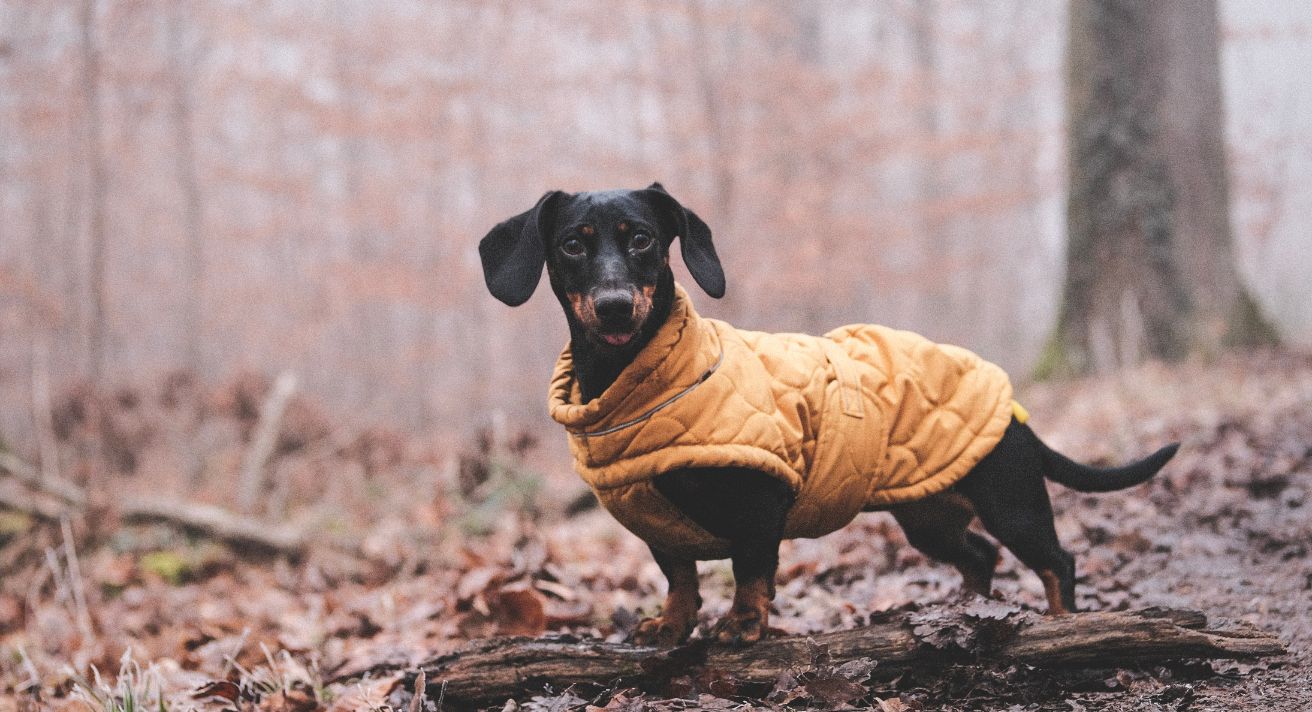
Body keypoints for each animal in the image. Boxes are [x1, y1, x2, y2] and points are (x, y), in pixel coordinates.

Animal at [477, 183, 1175, 645]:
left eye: (642, 240)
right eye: (573, 246)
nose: (617, 305)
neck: (639, 382)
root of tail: (1015, 411)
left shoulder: (761, 502)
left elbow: (749, 569)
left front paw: (744, 625)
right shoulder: (658, 529)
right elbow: (679, 577)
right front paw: (671, 627)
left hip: (1013, 501)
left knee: (1057, 561)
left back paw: (1060, 623)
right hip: (928, 514)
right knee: (978, 556)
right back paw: (963, 611)